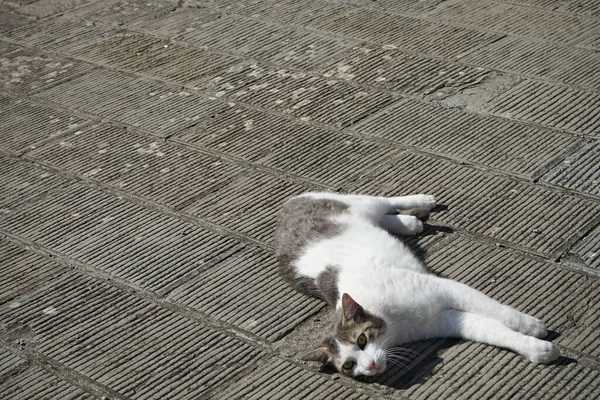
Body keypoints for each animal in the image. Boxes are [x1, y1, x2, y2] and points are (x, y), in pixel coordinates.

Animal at [274, 193, 560, 378]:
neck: (396, 323)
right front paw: (537, 349)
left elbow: (499, 312)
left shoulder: (448, 288)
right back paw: (410, 223)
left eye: (362, 340)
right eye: (348, 366)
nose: (369, 367)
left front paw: (531, 326)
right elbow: (495, 331)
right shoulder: (449, 320)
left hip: (362, 204)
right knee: (386, 218)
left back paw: (422, 201)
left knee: (385, 201)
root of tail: (286, 207)